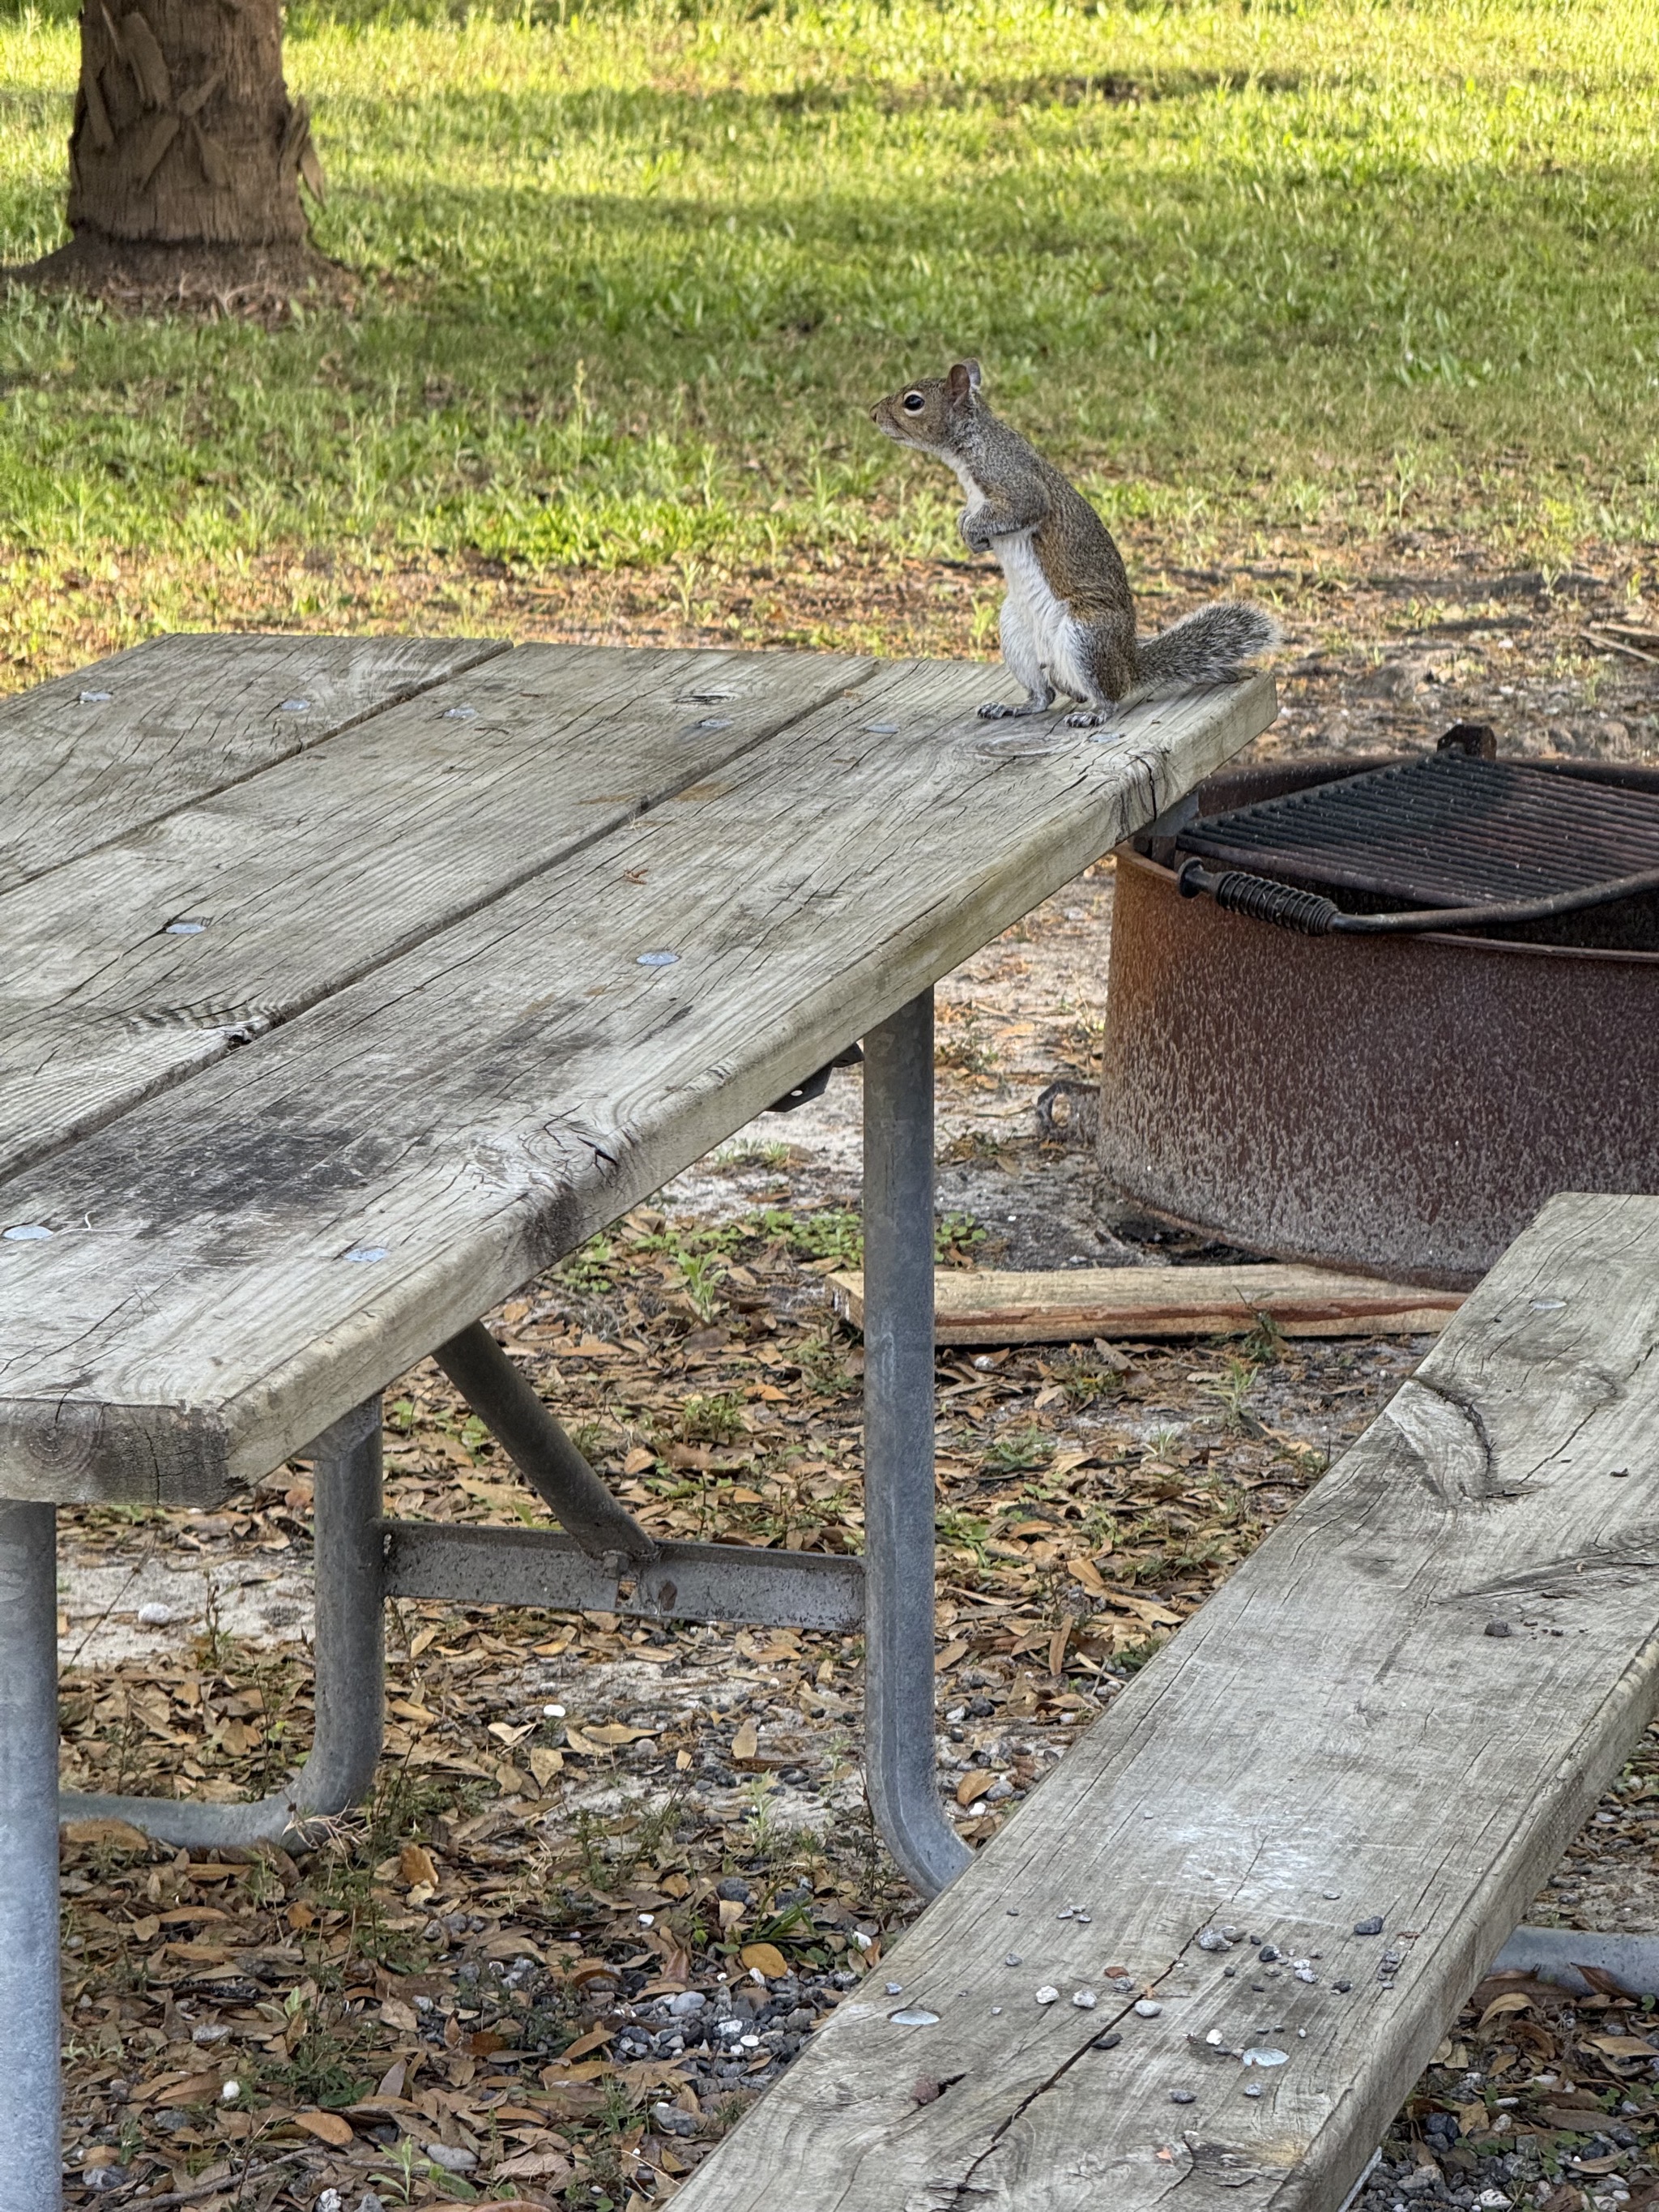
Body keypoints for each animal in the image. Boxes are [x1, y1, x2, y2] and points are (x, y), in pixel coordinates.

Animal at [870, 359, 1279, 726]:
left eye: (913, 402)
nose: (873, 414)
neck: (971, 446)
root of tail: (1129, 666)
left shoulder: (1014, 482)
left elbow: (1024, 507)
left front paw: (972, 532)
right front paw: (969, 533)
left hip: (1087, 635)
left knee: (1108, 695)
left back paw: (1094, 713)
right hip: (1017, 634)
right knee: (1044, 696)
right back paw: (1013, 707)